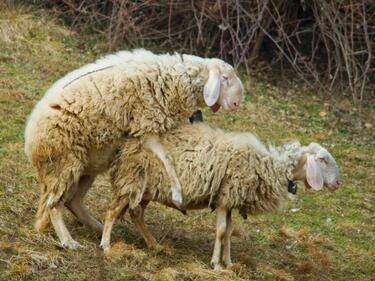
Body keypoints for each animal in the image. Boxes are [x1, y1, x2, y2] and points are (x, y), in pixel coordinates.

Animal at [25, 49, 245, 248]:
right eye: (225, 78)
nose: (236, 104)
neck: (176, 79)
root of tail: (30, 143)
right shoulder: (147, 127)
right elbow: (167, 158)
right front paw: (177, 193)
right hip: (64, 162)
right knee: (54, 204)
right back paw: (68, 241)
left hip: (88, 164)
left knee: (73, 201)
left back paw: (96, 228)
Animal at [100, 123, 344, 268]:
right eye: (323, 160)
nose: (338, 183)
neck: (267, 165)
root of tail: (126, 142)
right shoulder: (226, 198)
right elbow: (220, 231)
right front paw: (216, 264)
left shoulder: (230, 201)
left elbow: (228, 232)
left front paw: (228, 262)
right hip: (132, 180)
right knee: (112, 211)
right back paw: (106, 245)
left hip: (146, 188)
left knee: (137, 214)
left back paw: (154, 245)